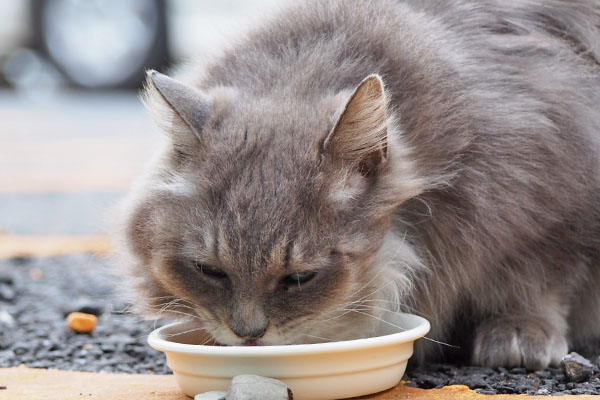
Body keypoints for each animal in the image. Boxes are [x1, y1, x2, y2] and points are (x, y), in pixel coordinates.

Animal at [116, 0, 600, 368]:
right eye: (210, 271)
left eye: (300, 277)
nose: (248, 333)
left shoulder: (550, 204)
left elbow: (537, 283)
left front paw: (519, 333)